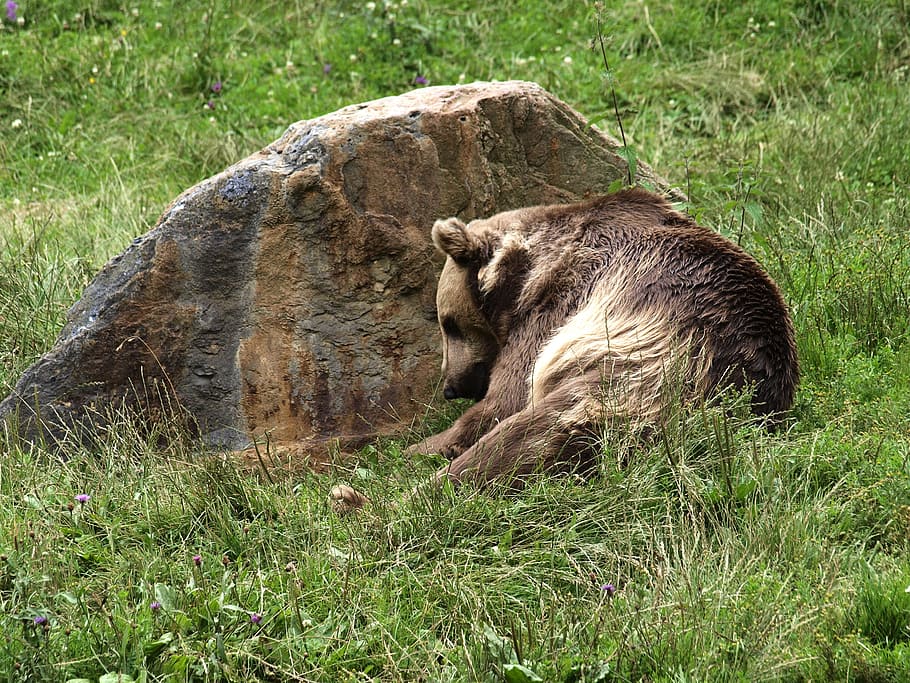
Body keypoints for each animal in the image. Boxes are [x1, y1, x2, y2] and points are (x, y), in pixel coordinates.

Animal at [331, 187, 798, 510]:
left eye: (448, 323)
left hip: (639, 369)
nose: (451, 386)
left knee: (529, 433)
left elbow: (505, 401)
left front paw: (412, 448)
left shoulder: (562, 307)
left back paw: (361, 500)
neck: (528, 268)